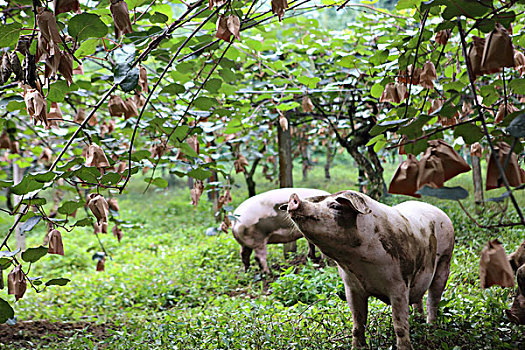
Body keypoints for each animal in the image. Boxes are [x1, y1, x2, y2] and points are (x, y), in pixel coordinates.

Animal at [278, 191, 454, 350]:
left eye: (335, 206)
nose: (294, 198)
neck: (360, 266)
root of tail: (439, 211)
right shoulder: (351, 287)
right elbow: (358, 322)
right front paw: (357, 347)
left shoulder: (399, 284)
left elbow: (399, 324)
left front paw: (404, 348)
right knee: (419, 300)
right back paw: (420, 323)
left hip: (445, 261)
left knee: (433, 299)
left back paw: (431, 328)